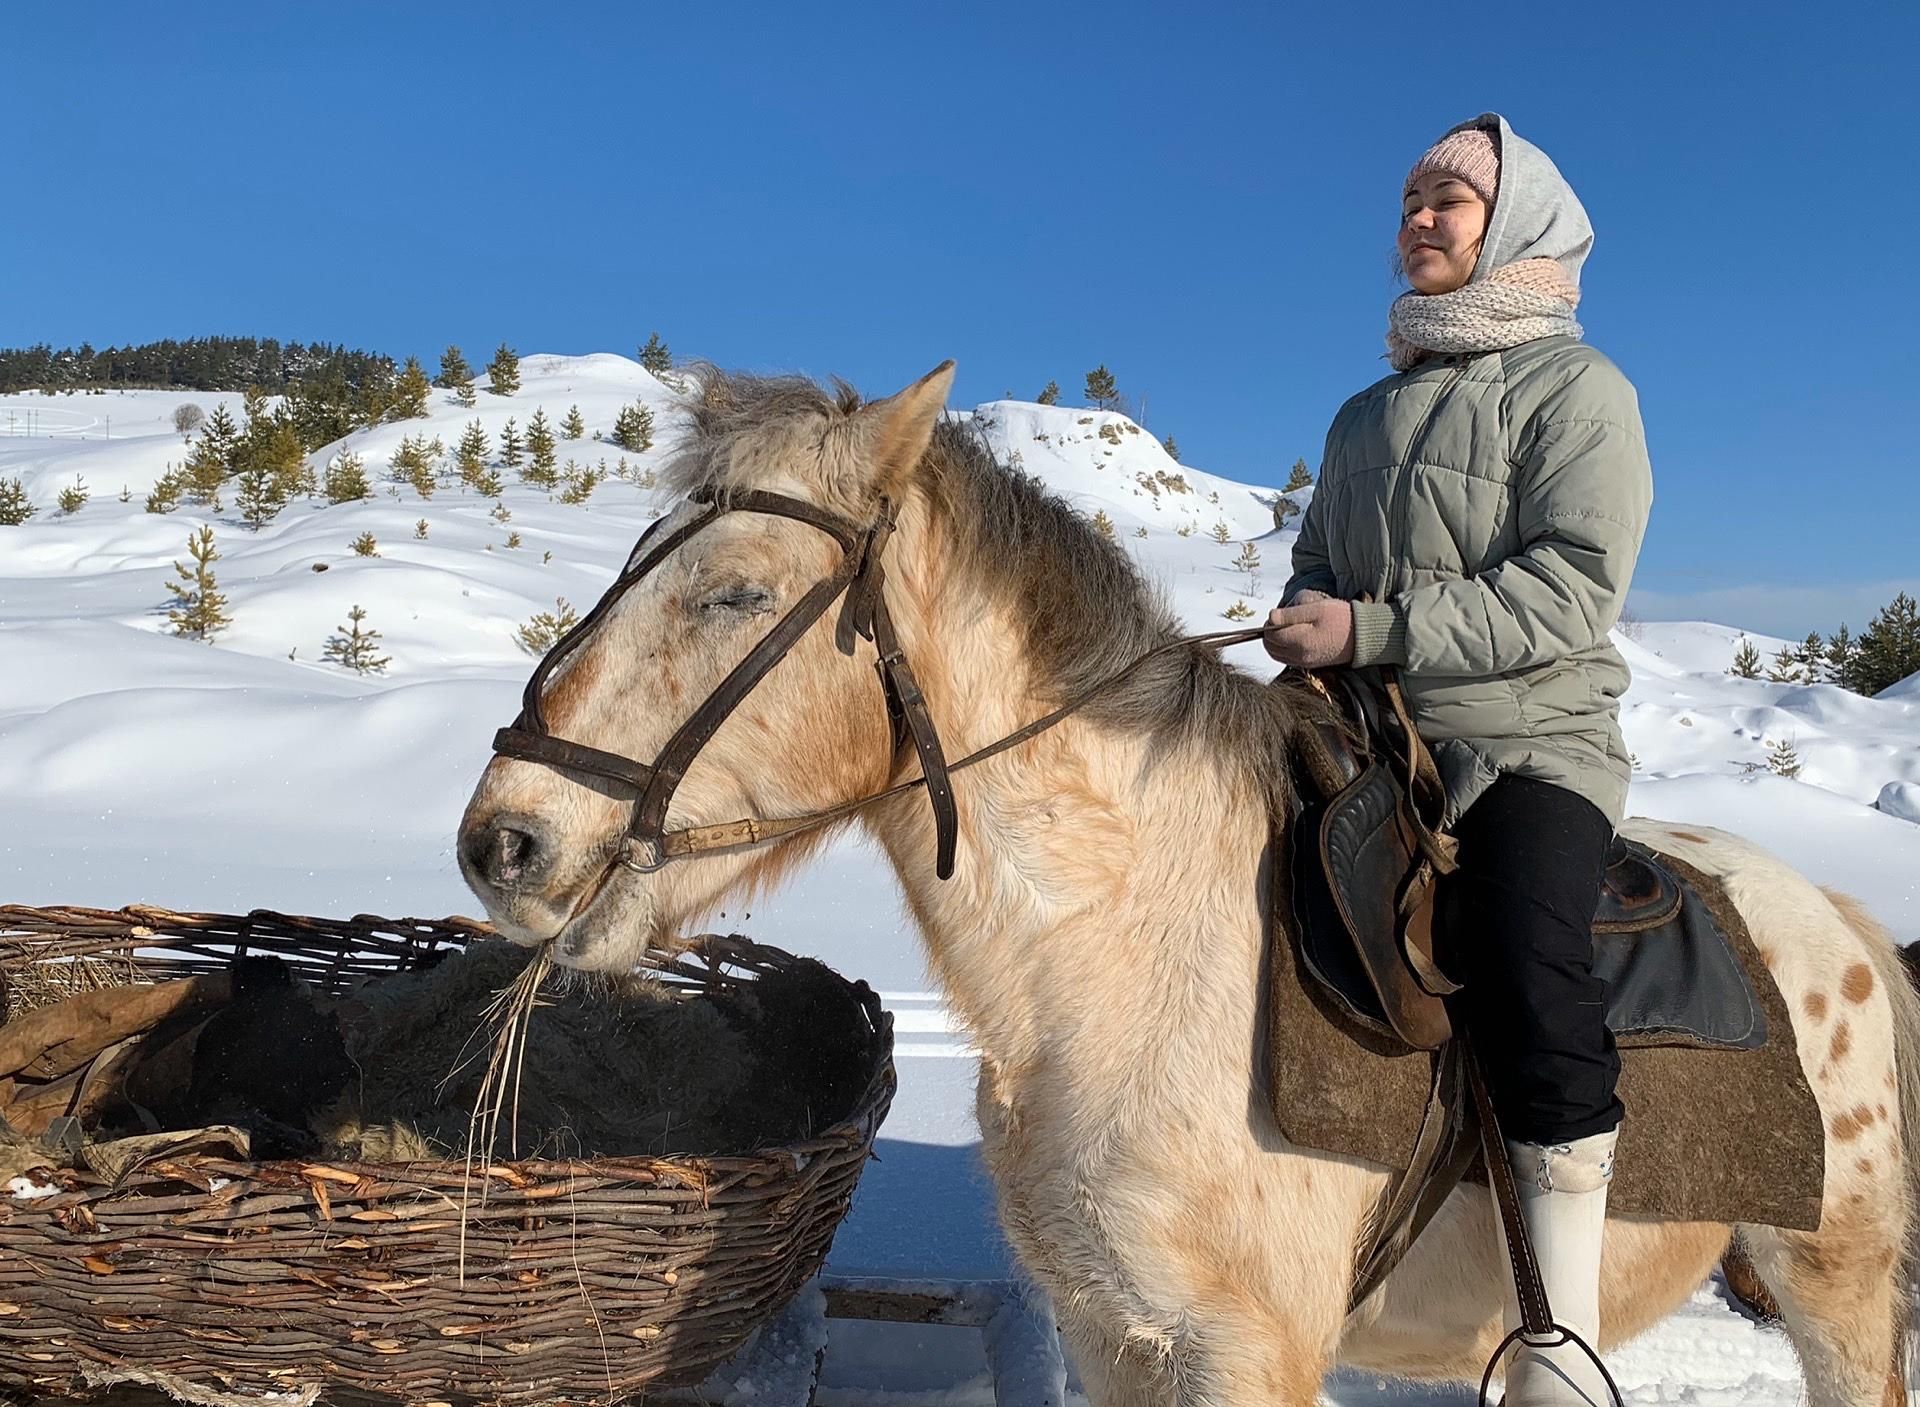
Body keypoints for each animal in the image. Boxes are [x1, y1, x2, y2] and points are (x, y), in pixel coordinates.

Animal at [453, 364, 1920, 1405]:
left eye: (739, 593)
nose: (501, 842)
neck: (1116, 957)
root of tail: (1836, 921)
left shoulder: (1245, 1351)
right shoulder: (1115, 1334)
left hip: (1833, 1289)